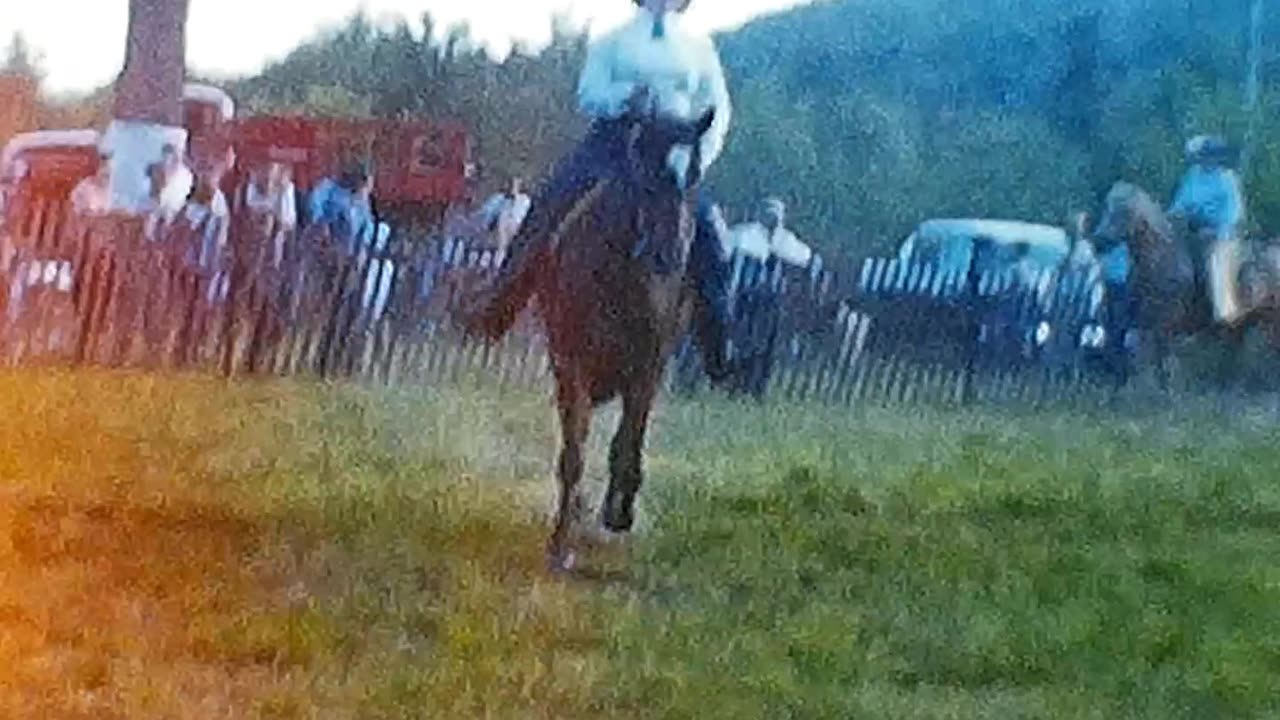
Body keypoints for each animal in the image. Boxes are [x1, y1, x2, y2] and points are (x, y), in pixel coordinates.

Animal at [514, 109, 727, 568]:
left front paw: (619, 512)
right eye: (645, 173)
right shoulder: (571, 363)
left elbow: (627, 442)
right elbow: (574, 451)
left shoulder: (648, 368)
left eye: (694, 176)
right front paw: (561, 543)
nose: (667, 254)